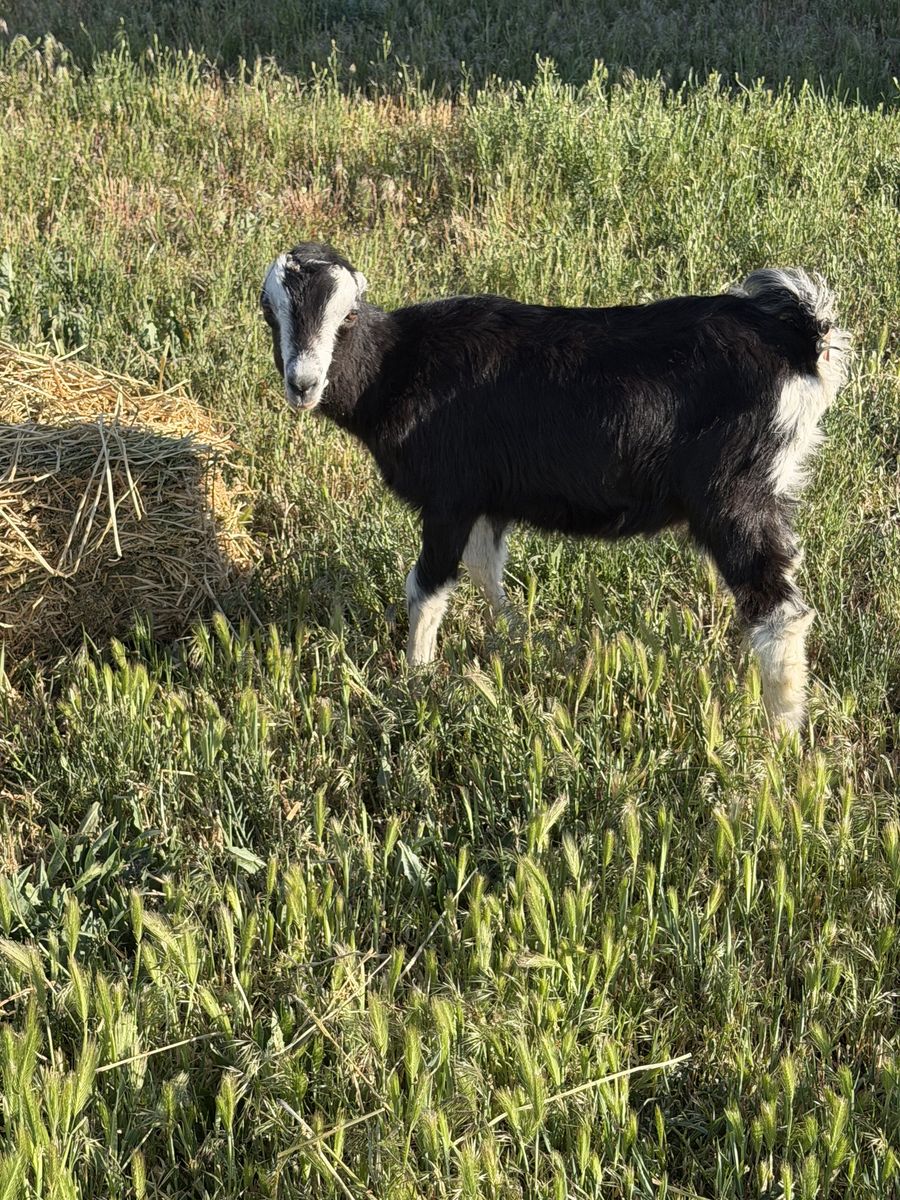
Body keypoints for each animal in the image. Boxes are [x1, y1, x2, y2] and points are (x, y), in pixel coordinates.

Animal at [260, 244, 849, 730]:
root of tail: (801, 339)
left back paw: (780, 739)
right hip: (769, 490)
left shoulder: (449, 497)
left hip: (734, 497)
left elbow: (427, 587)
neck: (397, 367)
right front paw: (515, 638)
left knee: (779, 610)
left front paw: (415, 680)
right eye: (272, 314)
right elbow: (486, 568)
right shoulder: (486, 499)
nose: (303, 385)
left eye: (348, 316)